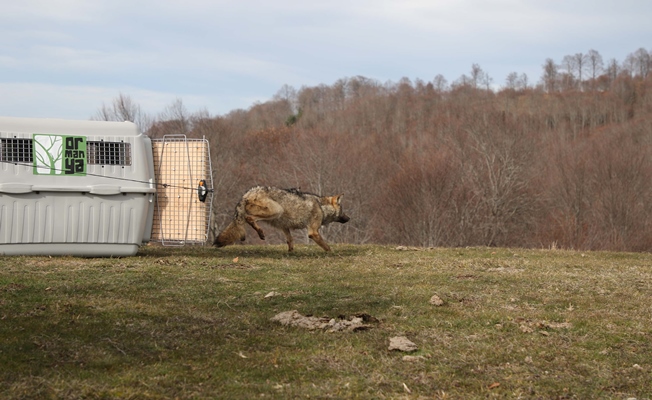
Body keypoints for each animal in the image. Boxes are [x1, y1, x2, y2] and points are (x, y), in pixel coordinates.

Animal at [214, 186, 348, 252]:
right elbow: (327, 247)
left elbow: (290, 241)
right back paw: (260, 233)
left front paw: (291, 253)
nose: (349, 218)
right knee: (250, 218)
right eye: (342, 211)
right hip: (277, 210)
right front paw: (333, 254)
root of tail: (246, 194)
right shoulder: (313, 232)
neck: (321, 206)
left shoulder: (285, 227)